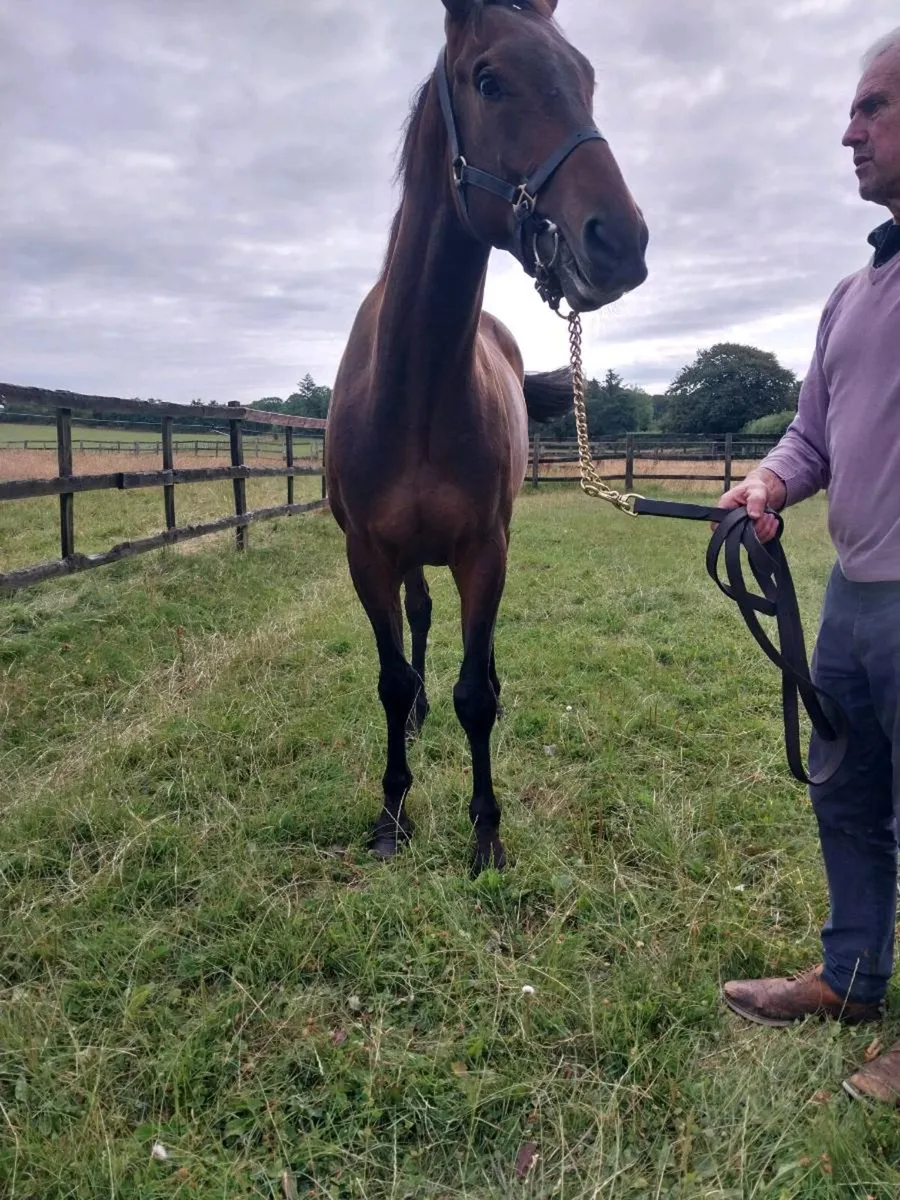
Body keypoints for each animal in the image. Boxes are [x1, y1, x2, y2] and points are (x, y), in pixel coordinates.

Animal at [325, 0, 648, 874]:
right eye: (489, 79)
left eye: (587, 77)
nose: (620, 241)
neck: (417, 389)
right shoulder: (367, 554)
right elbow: (392, 678)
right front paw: (392, 814)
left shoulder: (484, 548)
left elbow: (475, 691)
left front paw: (486, 831)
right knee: (420, 623)